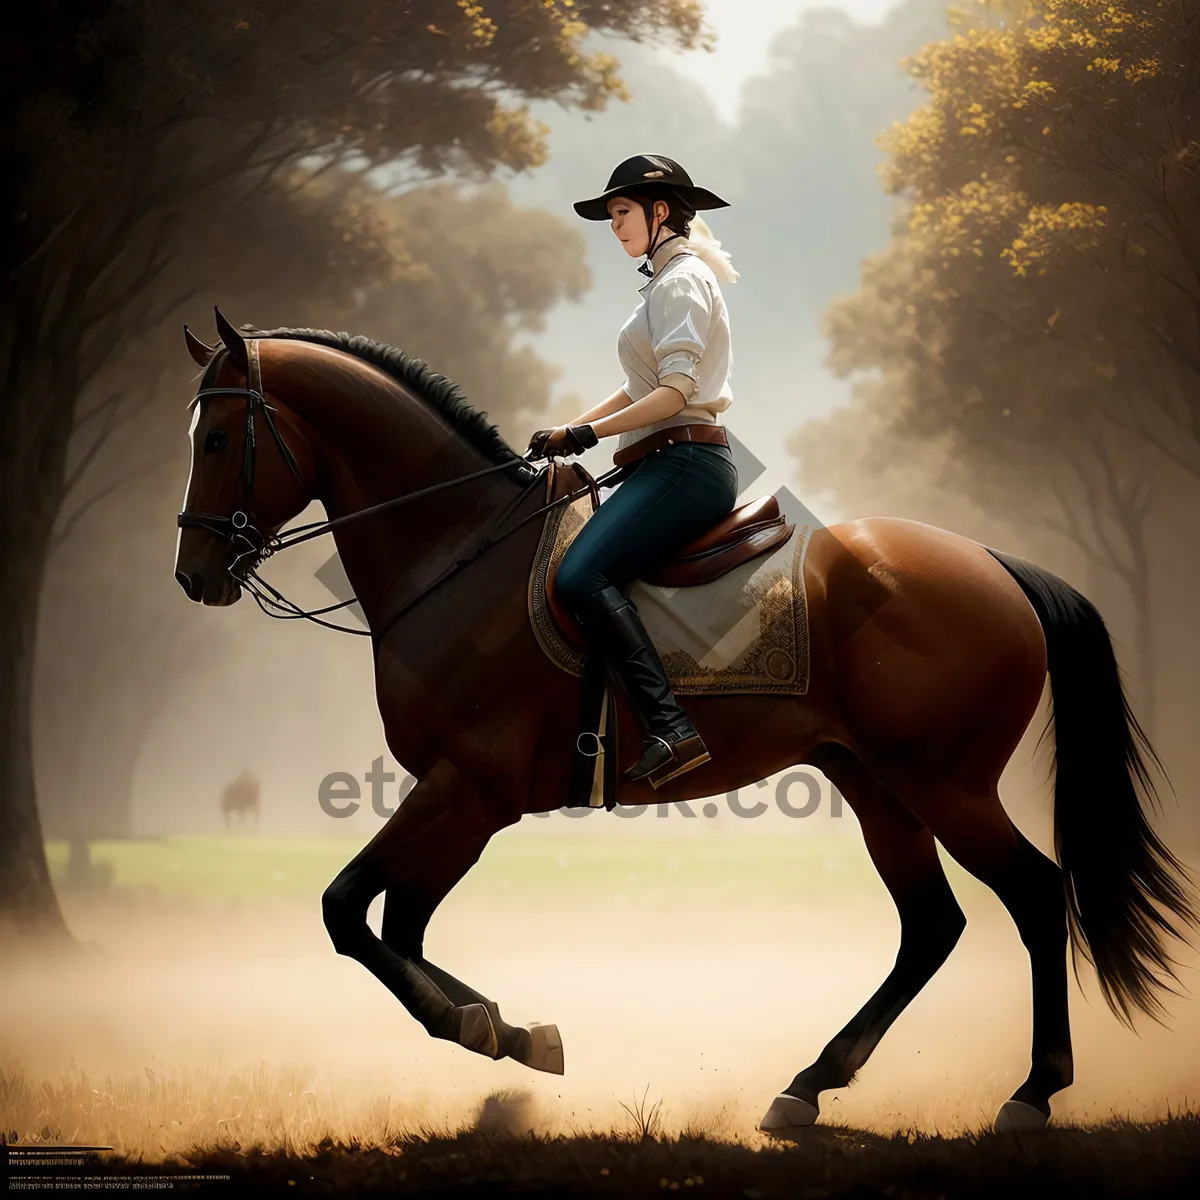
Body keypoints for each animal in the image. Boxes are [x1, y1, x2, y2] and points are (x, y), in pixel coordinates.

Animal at [174, 309, 1195, 1132]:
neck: (458, 553)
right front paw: (514, 1031)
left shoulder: (466, 791)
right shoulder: (465, 803)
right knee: (932, 925)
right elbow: (401, 927)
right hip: (877, 784)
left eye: (219, 438)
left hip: (946, 783)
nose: (194, 574)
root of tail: (993, 562)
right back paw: (808, 1086)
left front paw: (481, 1024)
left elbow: (350, 912)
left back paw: (1032, 1093)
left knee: (1035, 896)